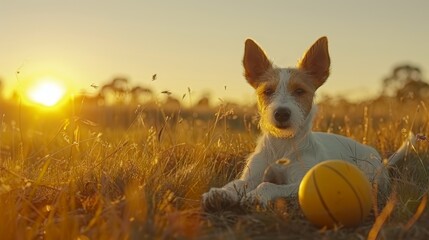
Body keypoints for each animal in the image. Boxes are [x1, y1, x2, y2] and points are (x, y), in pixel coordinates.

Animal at [202, 35, 412, 208]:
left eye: (300, 91)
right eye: (267, 91)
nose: (282, 113)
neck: (283, 146)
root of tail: (380, 159)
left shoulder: (301, 182)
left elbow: (268, 184)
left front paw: (256, 195)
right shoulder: (251, 176)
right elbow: (236, 184)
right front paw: (220, 193)